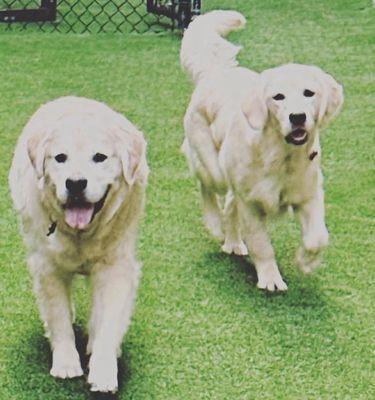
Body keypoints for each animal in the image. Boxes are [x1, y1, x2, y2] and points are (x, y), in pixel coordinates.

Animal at [8, 96, 149, 390]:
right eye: (60, 158)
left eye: (100, 158)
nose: (75, 183)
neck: (82, 234)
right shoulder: (47, 267)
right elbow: (59, 316)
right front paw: (65, 363)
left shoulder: (115, 266)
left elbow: (109, 321)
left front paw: (104, 371)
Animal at [181, 10, 344, 290]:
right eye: (278, 97)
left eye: (309, 93)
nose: (297, 117)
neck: (282, 156)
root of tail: (216, 73)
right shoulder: (251, 203)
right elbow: (262, 244)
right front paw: (270, 279)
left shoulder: (309, 194)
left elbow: (318, 237)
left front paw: (306, 262)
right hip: (214, 167)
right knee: (206, 187)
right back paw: (215, 225)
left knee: (228, 205)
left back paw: (233, 242)